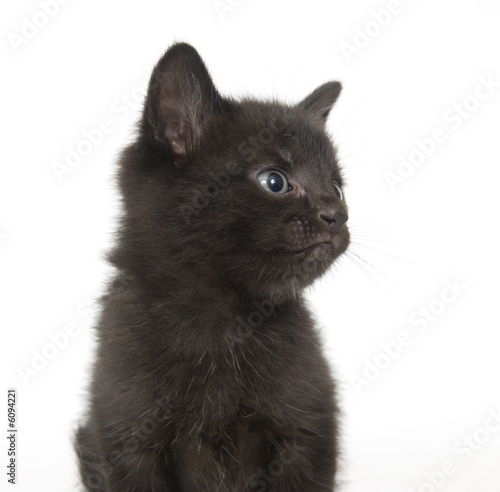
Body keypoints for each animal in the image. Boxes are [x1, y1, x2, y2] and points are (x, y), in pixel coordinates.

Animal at [76, 42, 350, 492]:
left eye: (337, 186)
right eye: (274, 181)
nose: (337, 215)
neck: (222, 322)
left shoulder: (306, 435)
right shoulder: (129, 442)